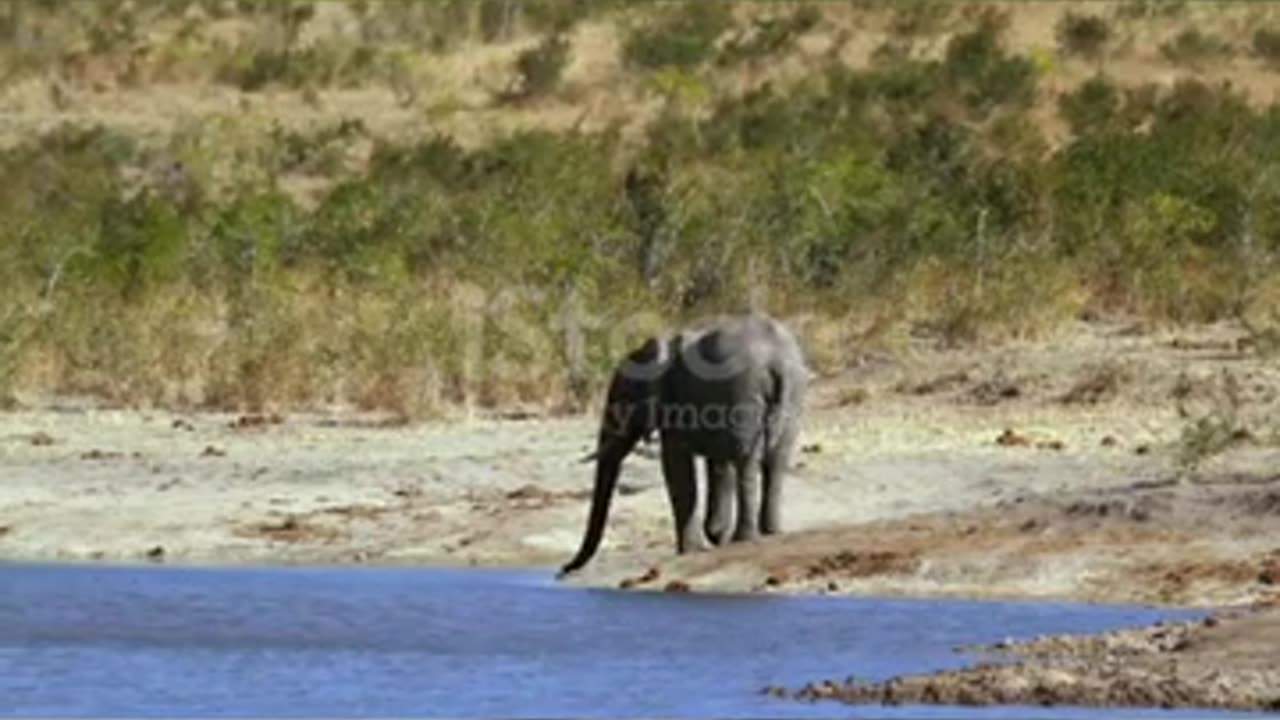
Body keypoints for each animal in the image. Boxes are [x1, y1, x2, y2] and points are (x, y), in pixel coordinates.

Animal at [560, 308, 808, 571]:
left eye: (624, 399)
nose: (562, 571)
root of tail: (777, 361)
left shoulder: (675, 402)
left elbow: (676, 464)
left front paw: (690, 551)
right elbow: (718, 465)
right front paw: (715, 537)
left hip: (743, 391)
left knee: (746, 460)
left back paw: (745, 539)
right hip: (792, 394)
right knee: (776, 461)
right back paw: (771, 533)